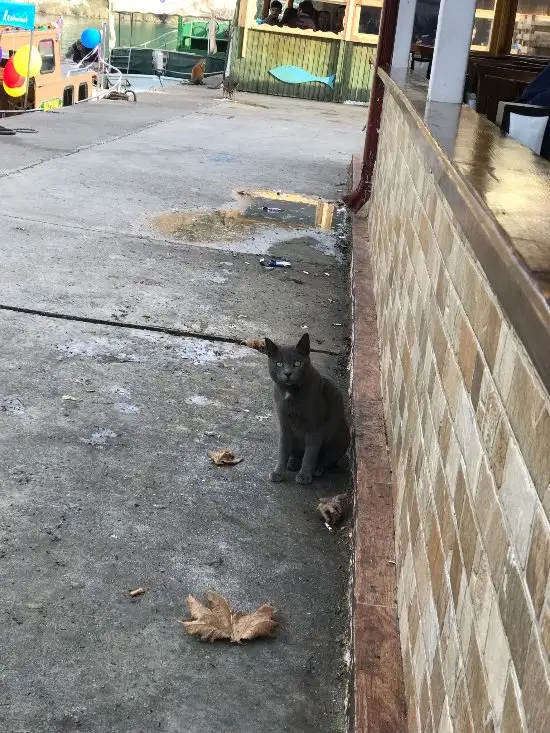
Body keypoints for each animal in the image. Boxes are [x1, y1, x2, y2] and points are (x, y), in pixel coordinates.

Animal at [266, 334, 352, 484]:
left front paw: (304, 475)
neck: (291, 393)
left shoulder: (315, 428)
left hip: (340, 438)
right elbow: (282, 450)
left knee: (326, 459)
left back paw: (317, 469)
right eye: (279, 364)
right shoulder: (284, 425)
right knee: (296, 453)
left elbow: (310, 454)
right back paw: (293, 463)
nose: (288, 373)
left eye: (297, 363)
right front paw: (278, 472)